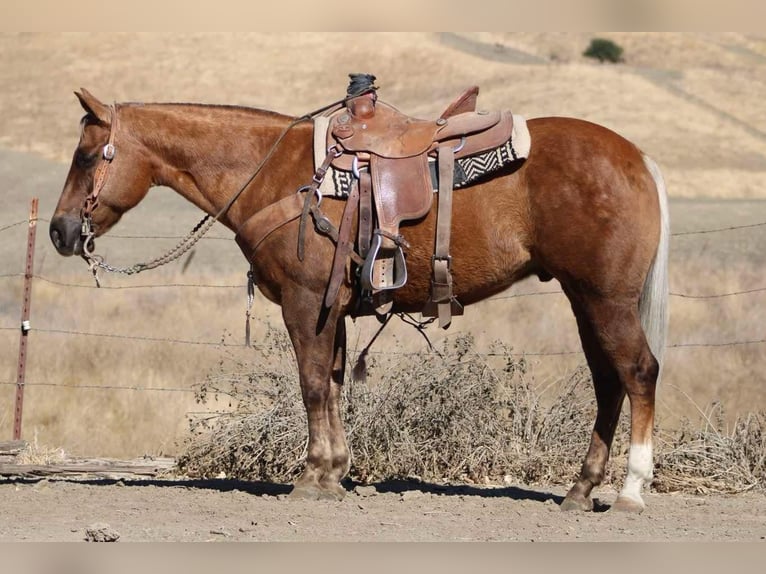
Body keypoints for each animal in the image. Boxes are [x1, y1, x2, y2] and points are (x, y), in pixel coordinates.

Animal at [51, 86, 668, 512]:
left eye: (86, 157)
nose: (60, 231)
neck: (272, 173)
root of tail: (639, 158)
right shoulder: (335, 309)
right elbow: (333, 383)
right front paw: (335, 473)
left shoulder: (304, 303)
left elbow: (310, 383)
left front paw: (310, 476)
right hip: (584, 298)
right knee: (608, 381)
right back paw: (580, 489)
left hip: (606, 298)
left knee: (638, 373)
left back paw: (631, 491)